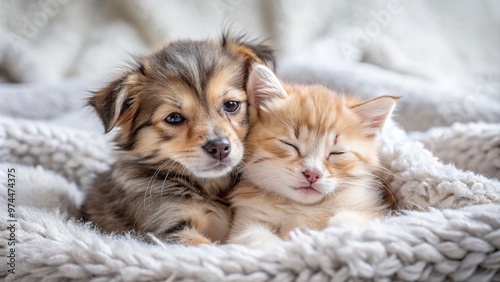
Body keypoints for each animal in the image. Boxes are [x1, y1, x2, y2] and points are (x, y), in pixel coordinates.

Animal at [228, 65, 398, 249]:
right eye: (290, 145)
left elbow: (349, 221)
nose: (312, 174)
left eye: (336, 153)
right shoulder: (244, 225)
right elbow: (258, 240)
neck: (303, 207)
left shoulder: (375, 213)